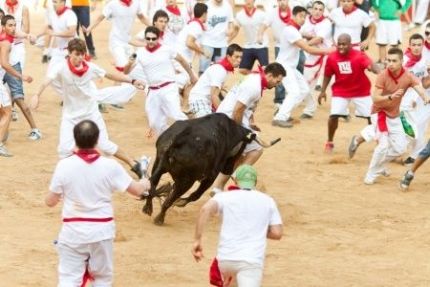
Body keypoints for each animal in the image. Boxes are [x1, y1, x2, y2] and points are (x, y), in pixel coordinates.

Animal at [143, 113, 280, 226]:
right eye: (243, 147)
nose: (229, 170)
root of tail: (177, 140)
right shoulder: (210, 176)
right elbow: (196, 195)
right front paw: (180, 202)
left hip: (159, 164)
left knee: (152, 183)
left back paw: (147, 208)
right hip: (187, 181)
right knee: (169, 199)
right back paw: (159, 219)